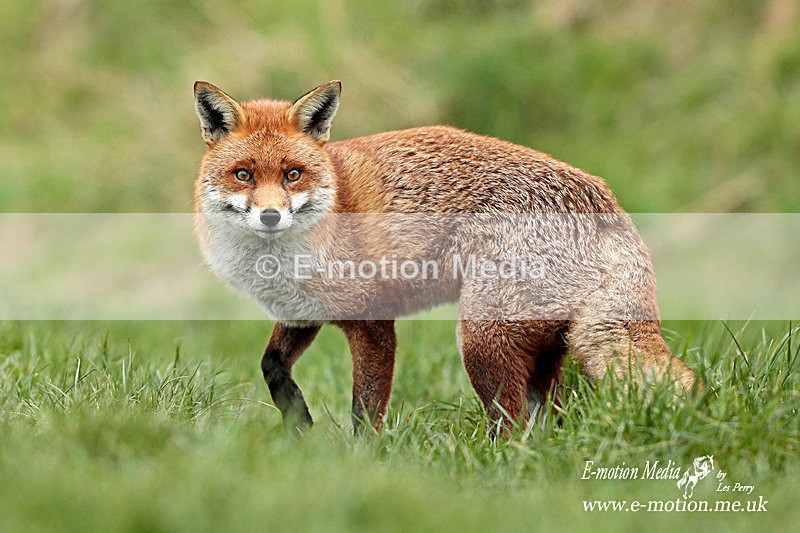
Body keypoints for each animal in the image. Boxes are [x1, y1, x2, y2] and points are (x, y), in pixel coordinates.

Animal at [192, 79, 698, 435]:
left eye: (293, 174)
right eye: (243, 174)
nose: (271, 216)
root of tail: (602, 197)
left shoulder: (373, 324)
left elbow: (365, 413)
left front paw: (357, 462)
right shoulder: (301, 313)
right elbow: (271, 366)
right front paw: (298, 424)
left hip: (481, 339)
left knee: (512, 429)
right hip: (544, 350)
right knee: (550, 425)